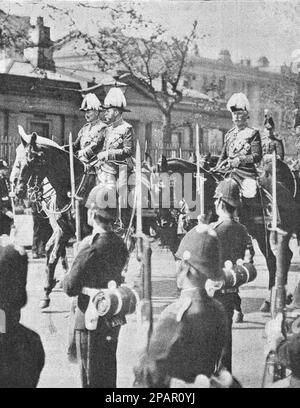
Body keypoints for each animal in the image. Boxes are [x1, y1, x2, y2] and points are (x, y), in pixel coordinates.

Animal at [15, 126, 157, 308]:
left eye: (34, 161)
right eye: (19, 162)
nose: (19, 191)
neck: (70, 187)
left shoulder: (84, 231)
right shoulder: (64, 230)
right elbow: (53, 257)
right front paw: (46, 294)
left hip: (142, 223)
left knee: (139, 248)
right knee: (130, 245)